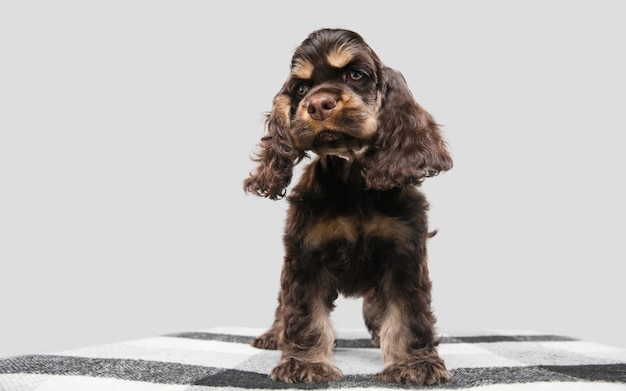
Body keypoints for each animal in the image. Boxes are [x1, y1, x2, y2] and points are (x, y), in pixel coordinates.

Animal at [241, 28, 450, 386]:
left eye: (356, 75)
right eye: (300, 88)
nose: (318, 104)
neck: (352, 180)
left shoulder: (405, 254)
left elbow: (408, 314)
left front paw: (415, 364)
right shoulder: (305, 255)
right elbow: (305, 315)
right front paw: (305, 364)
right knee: (283, 306)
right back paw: (273, 335)